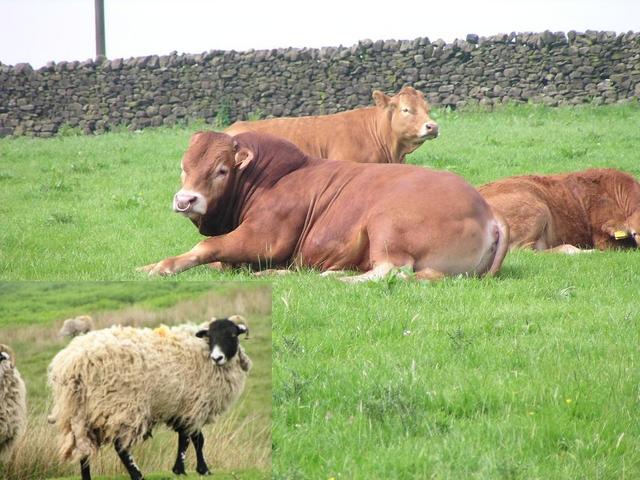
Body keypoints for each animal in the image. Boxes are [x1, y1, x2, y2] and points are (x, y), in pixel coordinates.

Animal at [47, 316, 251, 478]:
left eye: (233, 335)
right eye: (211, 336)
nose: (217, 358)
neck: (202, 352)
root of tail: (72, 363)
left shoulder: (187, 407)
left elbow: (194, 439)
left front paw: (197, 469)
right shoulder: (194, 405)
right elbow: (190, 439)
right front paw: (186, 469)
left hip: (78, 412)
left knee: (83, 448)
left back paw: (88, 477)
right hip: (122, 405)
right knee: (121, 447)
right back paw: (137, 474)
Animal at [140, 131, 510, 282]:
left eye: (221, 170)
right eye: (184, 167)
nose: (185, 200)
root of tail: (487, 210)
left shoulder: (264, 236)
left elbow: (207, 247)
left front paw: (163, 267)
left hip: (386, 224)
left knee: (391, 271)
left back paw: (332, 279)